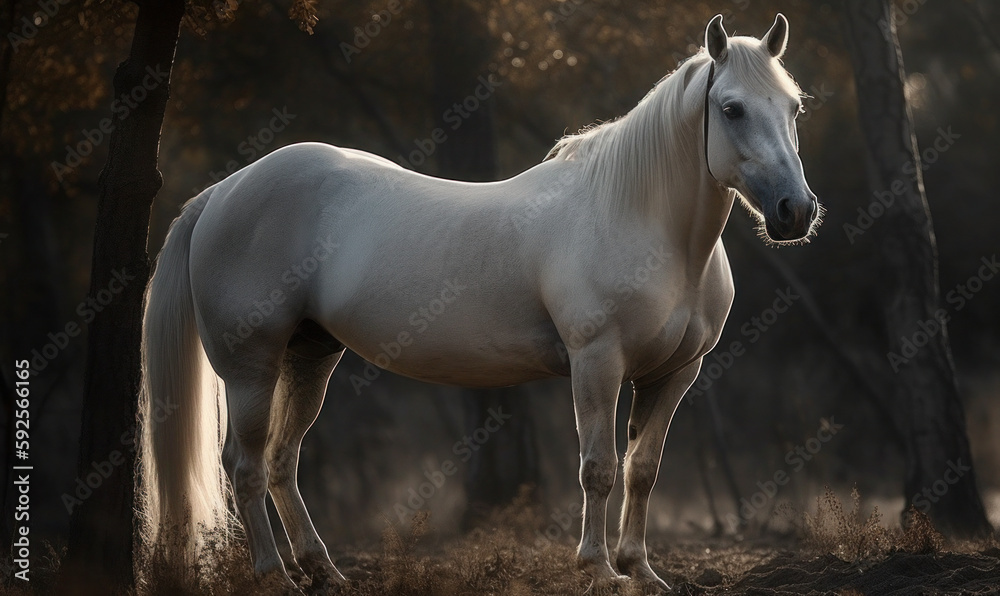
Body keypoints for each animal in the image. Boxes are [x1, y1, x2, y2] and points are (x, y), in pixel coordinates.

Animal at [139, 12, 819, 592]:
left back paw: (323, 571)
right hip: (250, 366)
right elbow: (598, 467)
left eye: (793, 106)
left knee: (283, 461)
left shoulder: (674, 373)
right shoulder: (597, 362)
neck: (642, 220)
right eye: (731, 109)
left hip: (310, 356)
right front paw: (599, 570)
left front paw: (642, 572)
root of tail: (225, 190)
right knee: (246, 464)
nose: (796, 211)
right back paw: (273, 576)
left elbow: (641, 470)